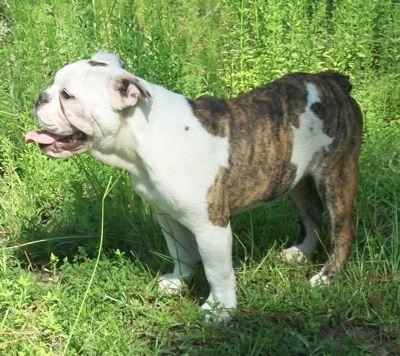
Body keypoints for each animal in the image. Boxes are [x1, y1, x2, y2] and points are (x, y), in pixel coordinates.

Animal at [25, 50, 362, 320]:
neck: (142, 136)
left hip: (336, 176)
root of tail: (331, 81)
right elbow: (180, 251)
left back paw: (327, 277)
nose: (39, 97)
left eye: (67, 96)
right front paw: (178, 281)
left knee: (342, 231)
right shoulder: (166, 215)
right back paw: (300, 252)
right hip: (297, 181)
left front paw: (220, 309)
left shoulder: (210, 226)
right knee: (310, 216)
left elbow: (217, 271)